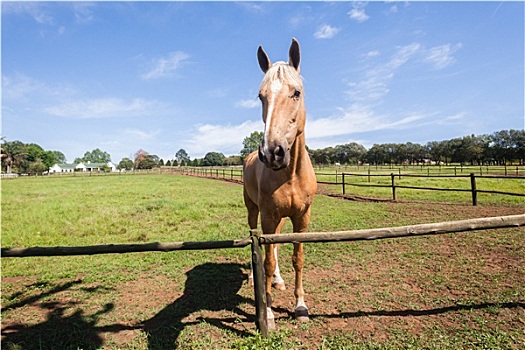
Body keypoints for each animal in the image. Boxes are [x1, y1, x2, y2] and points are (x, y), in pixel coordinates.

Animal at [243, 39, 316, 330]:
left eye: (296, 93)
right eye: (261, 96)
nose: (271, 152)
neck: (291, 175)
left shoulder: (301, 217)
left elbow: (297, 258)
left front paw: (300, 306)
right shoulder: (268, 216)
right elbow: (265, 260)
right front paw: (268, 313)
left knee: (274, 248)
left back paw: (279, 279)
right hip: (254, 211)